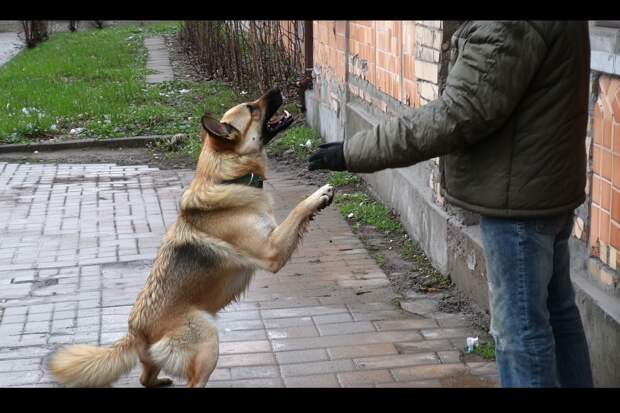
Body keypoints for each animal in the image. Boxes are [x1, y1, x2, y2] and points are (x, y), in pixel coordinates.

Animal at [49, 87, 336, 386]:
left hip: (165, 357)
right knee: (192, 381)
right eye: (251, 108)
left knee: (145, 378)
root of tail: (136, 332)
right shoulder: (272, 251)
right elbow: (297, 210)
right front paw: (319, 195)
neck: (227, 178)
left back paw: (160, 381)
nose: (278, 90)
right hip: (209, 340)